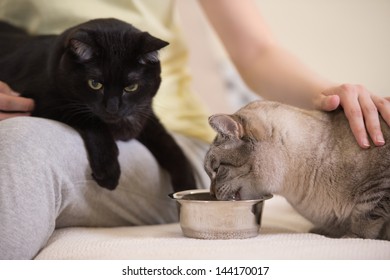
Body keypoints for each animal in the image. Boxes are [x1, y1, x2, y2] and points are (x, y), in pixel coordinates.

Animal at [0, 18, 195, 191]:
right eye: (95, 84)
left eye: (131, 87)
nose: (112, 108)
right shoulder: (42, 102)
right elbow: (93, 121)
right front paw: (108, 170)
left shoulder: (146, 117)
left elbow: (172, 147)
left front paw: (187, 188)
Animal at [204, 99, 390, 240]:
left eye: (216, 170)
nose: (212, 194)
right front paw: (324, 233)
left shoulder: (378, 187)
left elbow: (365, 218)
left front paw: (351, 237)